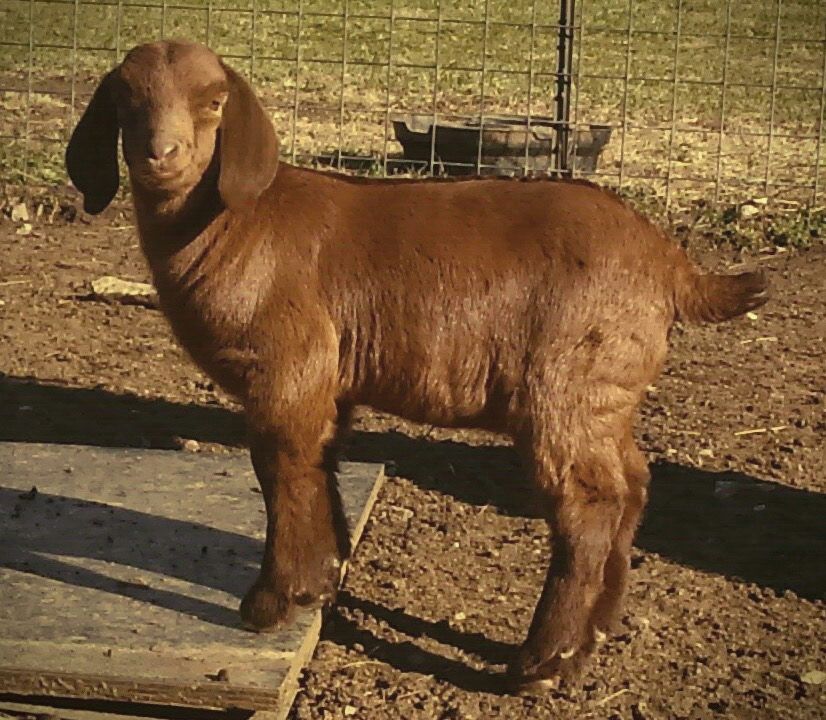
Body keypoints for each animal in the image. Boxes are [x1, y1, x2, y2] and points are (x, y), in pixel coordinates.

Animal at [65, 40, 768, 692]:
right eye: (125, 98)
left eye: (214, 101)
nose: (160, 155)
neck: (232, 223)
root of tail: (673, 263)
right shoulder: (330, 382)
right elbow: (318, 464)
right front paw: (319, 582)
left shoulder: (289, 368)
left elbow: (280, 470)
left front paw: (269, 604)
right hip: (608, 390)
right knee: (633, 484)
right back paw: (588, 643)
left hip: (566, 384)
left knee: (588, 503)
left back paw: (541, 662)